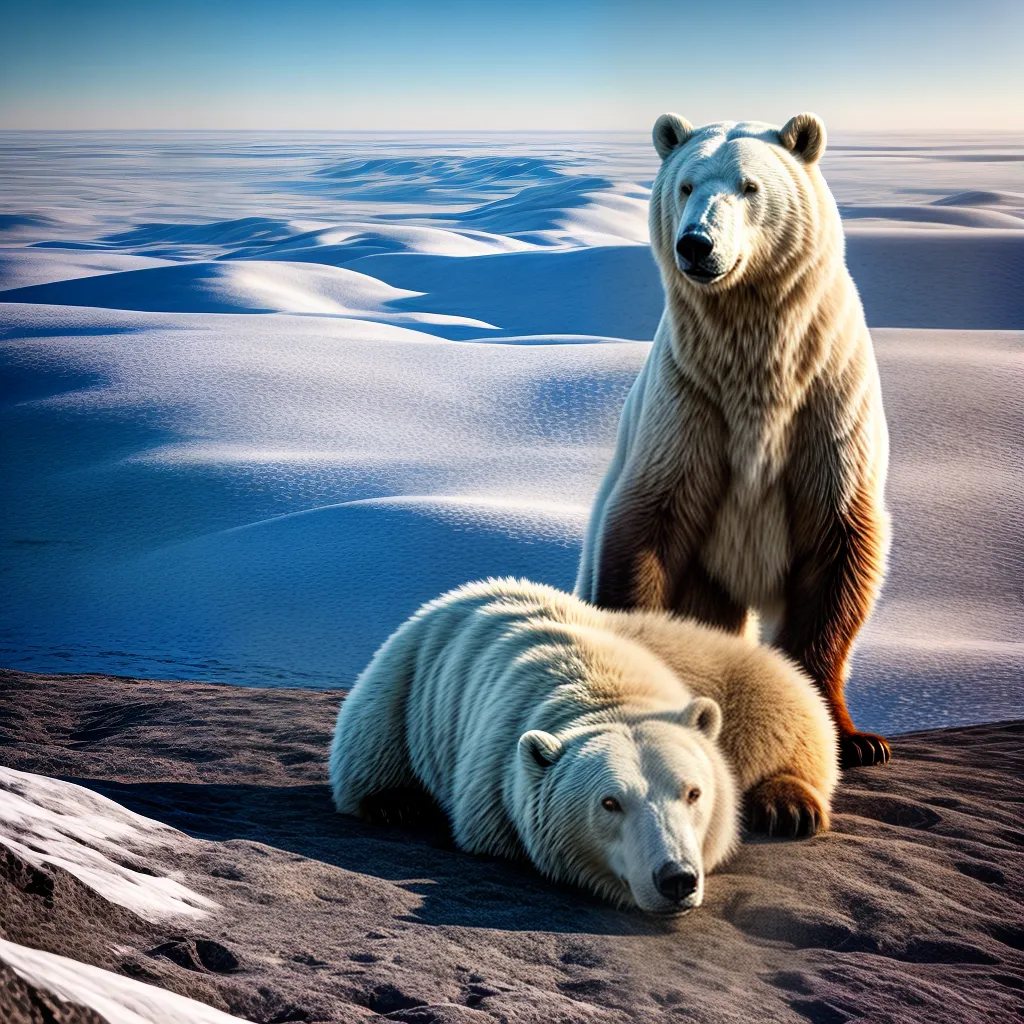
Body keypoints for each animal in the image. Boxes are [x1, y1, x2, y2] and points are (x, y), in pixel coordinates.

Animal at [329, 578, 838, 912]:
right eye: (610, 802)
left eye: (693, 793)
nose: (676, 879)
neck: (602, 686)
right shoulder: (491, 782)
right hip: (403, 685)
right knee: (372, 745)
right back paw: (397, 802)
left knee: (792, 705)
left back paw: (789, 807)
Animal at [575, 112, 891, 769]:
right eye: (687, 184)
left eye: (749, 185)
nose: (697, 243)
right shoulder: (690, 404)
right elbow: (648, 529)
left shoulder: (826, 405)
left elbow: (838, 548)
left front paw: (853, 738)